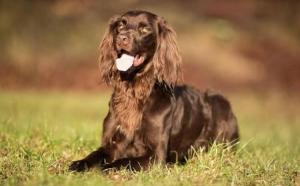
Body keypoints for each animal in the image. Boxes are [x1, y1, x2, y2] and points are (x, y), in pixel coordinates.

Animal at [68, 10, 239, 171]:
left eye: (144, 29)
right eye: (121, 25)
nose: (121, 38)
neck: (134, 92)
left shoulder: (156, 156)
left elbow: (124, 161)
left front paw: (106, 168)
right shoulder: (112, 144)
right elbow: (94, 155)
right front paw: (78, 164)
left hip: (219, 100)